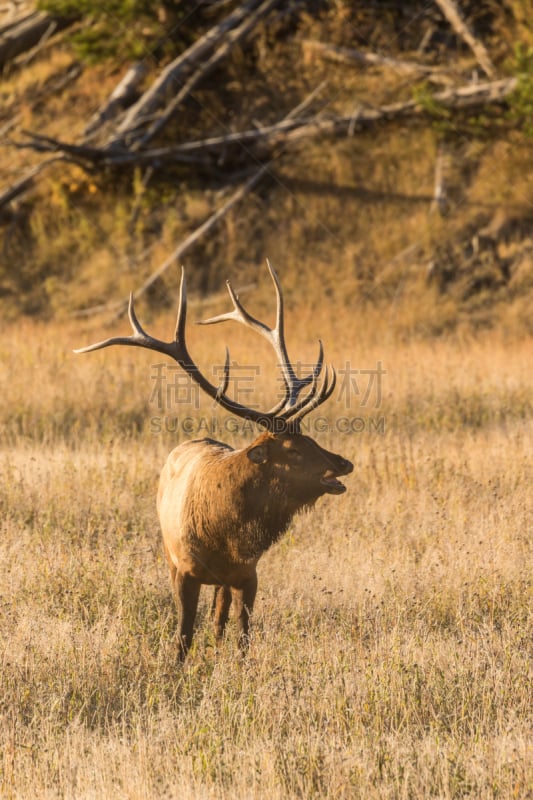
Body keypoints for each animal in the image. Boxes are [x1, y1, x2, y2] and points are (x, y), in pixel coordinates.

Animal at [74, 262, 350, 664]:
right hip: (169, 556)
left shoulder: (248, 574)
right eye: (293, 450)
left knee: (219, 622)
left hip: (224, 581)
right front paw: (175, 669)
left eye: (311, 439)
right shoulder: (185, 571)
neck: (227, 534)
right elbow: (183, 637)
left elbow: (242, 637)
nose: (343, 464)